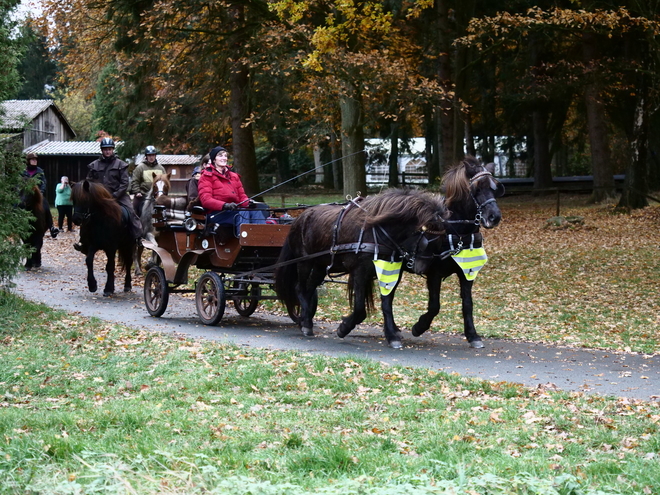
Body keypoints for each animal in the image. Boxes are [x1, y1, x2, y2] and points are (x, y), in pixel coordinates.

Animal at [274, 189, 448, 348]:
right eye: (427, 241)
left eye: (441, 242)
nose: (423, 269)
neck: (377, 231)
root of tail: (299, 218)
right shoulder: (359, 271)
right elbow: (359, 308)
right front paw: (344, 328)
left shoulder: (390, 272)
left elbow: (386, 304)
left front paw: (392, 335)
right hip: (304, 262)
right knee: (300, 288)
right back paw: (306, 324)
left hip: (320, 265)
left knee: (309, 289)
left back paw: (305, 319)